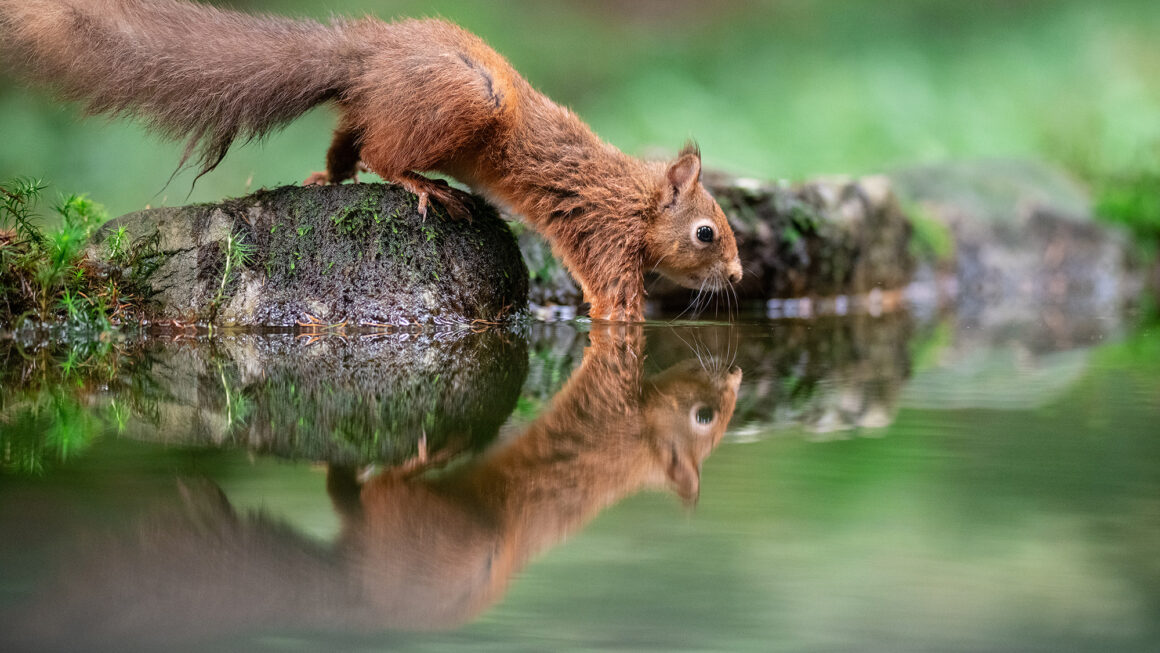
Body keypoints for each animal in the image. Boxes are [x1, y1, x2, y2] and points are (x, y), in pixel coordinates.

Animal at [0, 0, 742, 320]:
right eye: (707, 232)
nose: (738, 274)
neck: (633, 197)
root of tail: (369, 54)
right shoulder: (603, 237)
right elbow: (616, 307)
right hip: (462, 103)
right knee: (386, 151)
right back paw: (421, 185)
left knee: (349, 136)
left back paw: (330, 174)